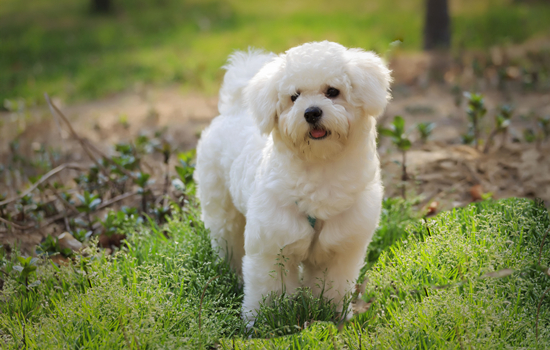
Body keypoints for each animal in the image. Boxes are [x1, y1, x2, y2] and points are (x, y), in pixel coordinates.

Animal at [195, 40, 392, 322]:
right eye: (294, 97)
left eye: (333, 91)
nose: (311, 112)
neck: (320, 167)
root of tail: (234, 108)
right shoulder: (272, 246)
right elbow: (268, 290)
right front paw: (262, 321)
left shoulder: (340, 248)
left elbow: (332, 287)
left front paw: (333, 315)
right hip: (221, 209)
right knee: (227, 242)